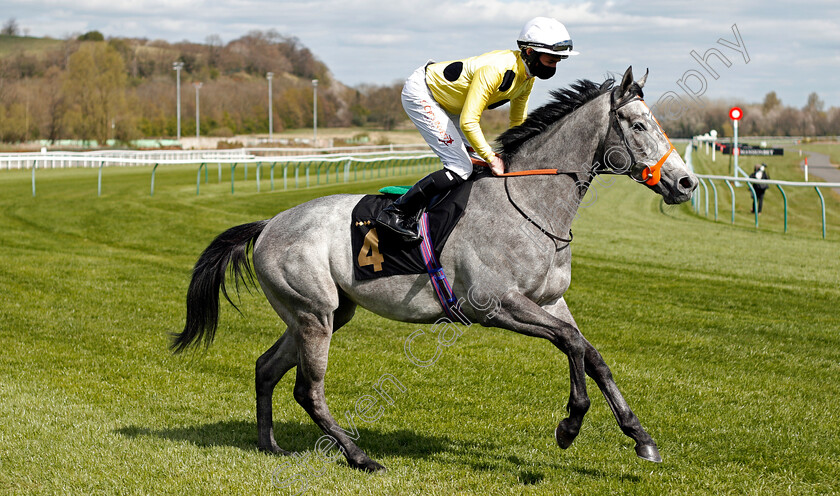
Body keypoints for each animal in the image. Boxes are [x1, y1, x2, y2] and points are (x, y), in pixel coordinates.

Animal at [171, 67, 696, 472]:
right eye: (638, 125)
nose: (686, 182)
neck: (529, 204)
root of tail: (269, 224)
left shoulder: (550, 300)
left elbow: (592, 354)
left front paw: (641, 437)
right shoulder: (495, 306)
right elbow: (570, 344)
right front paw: (569, 425)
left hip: (325, 313)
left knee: (266, 368)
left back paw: (269, 444)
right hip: (313, 314)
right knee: (308, 390)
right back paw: (359, 456)